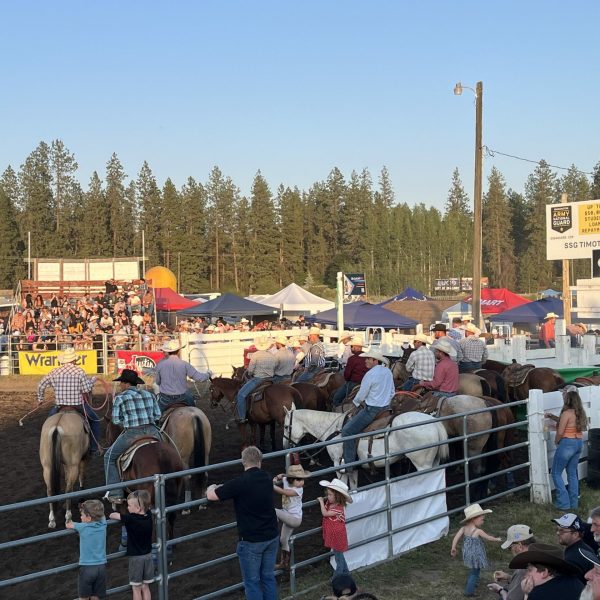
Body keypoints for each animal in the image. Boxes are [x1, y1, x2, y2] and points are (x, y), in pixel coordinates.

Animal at [284, 410, 448, 490]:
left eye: (286, 426)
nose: (286, 445)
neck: (334, 431)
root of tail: (433, 422)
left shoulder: (338, 464)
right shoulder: (353, 468)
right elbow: (353, 486)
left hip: (422, 463)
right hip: (434, 461)